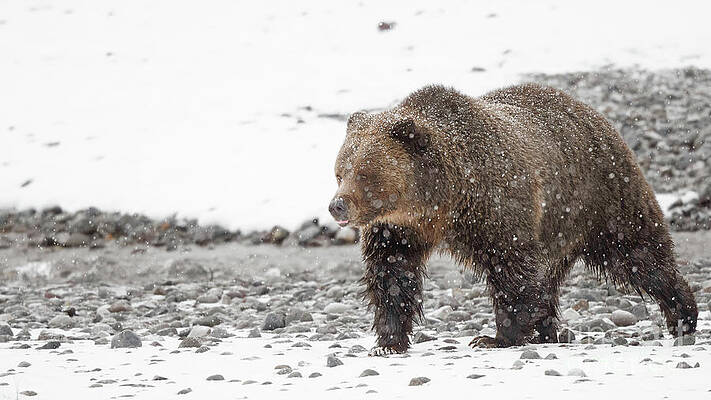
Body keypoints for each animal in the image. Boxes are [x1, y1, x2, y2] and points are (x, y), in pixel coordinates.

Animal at [328, 83, 698, 355]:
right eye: (340, 171)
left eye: (365, 173)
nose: (337, 206)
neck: (439, 202)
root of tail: (592, 112)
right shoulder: (398, 229)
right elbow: (392, 274)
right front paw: (388, 342)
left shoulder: (496, 205)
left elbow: (511, 269)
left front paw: (496, 337)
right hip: (557, 229)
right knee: (550, 278)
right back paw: (547, 330)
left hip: (603, 197)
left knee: (638, 253)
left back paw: (683, 317)